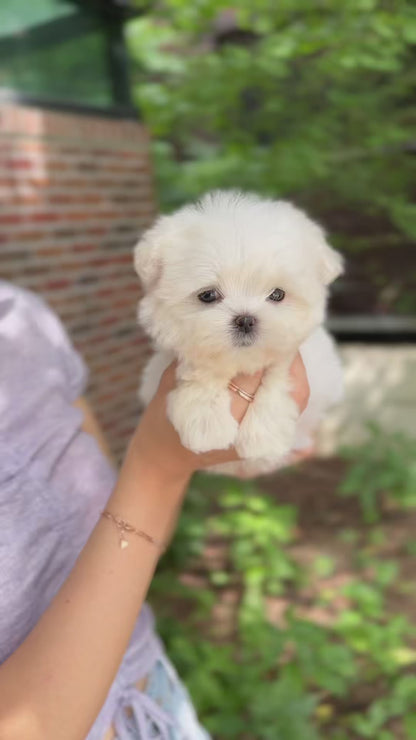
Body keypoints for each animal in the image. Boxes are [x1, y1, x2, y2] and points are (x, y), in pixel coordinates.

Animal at [134, 191, 344, 476]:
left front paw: (264, 439)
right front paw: (206, 424)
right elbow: (201, 369)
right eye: (208, 295)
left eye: (277, 294)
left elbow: (276, 377)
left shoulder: (293, 358)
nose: (245, 320)